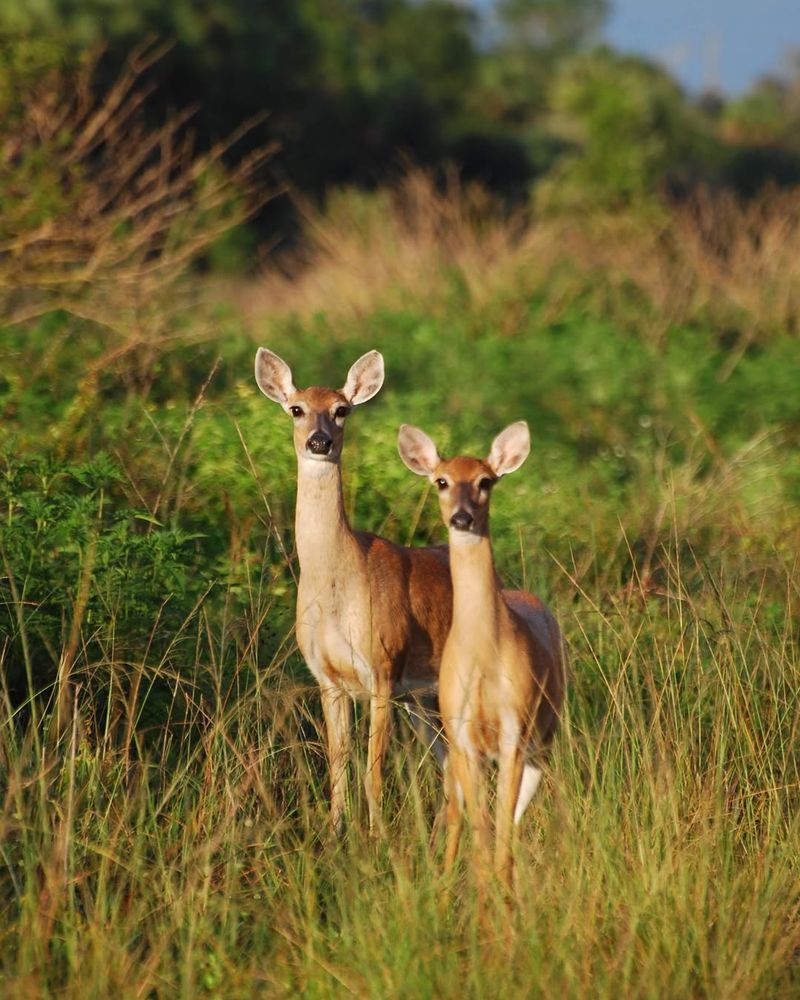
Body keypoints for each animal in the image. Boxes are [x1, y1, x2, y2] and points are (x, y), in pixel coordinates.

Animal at [254, 347, 454, 836]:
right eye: (296, 409)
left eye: (342, 409)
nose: (319, 442)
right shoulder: (328, 679)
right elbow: (338, 767)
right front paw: (334, 832)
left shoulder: (382, 668)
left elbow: (373, 771)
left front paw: (378, 836)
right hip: (423, 699)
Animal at [397, 420, 567, 889]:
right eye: (441, 481)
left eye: (485, 481)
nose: (462, 517)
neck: (485, 658)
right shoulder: (464, 736)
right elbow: (481, 844)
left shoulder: (514, 732)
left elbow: (501, 845)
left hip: (542, 744)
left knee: (514, 826)